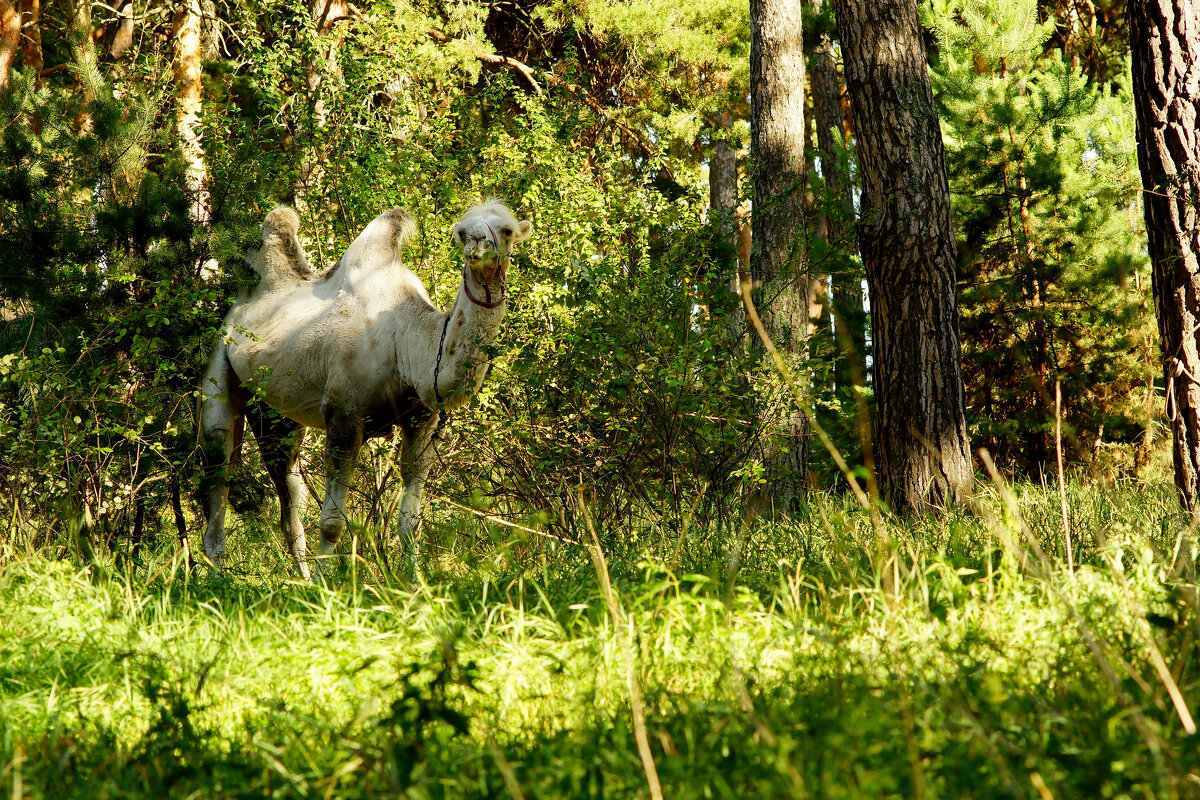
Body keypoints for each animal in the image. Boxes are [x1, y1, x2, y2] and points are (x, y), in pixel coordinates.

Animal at [200, 199, 530, 575]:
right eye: (462, 232)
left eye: (506, 231)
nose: (476, 245)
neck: (405, 339)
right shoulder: (343, 416)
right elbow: (332, 522)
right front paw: (328, 585)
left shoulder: (423, 422)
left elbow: (411, 520)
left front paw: (414, 581)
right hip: (218, 363)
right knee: (218, 466)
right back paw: (216, 575)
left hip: (276, 415)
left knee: (289, 497)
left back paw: (300, 577)